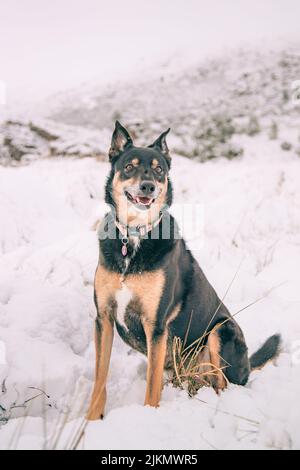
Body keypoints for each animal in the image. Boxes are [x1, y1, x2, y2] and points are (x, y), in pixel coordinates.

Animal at [85, 120, 280, 418]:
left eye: (159, 169)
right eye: (129, 166)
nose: (148, 187)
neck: (134, 238)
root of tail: (247, 364)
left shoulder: (156, 325)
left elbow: (151, 386)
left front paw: (148, 415)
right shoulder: (103, 318)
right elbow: (100, 378)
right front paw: (91, 420)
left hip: (221, 330)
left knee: (222, 383)